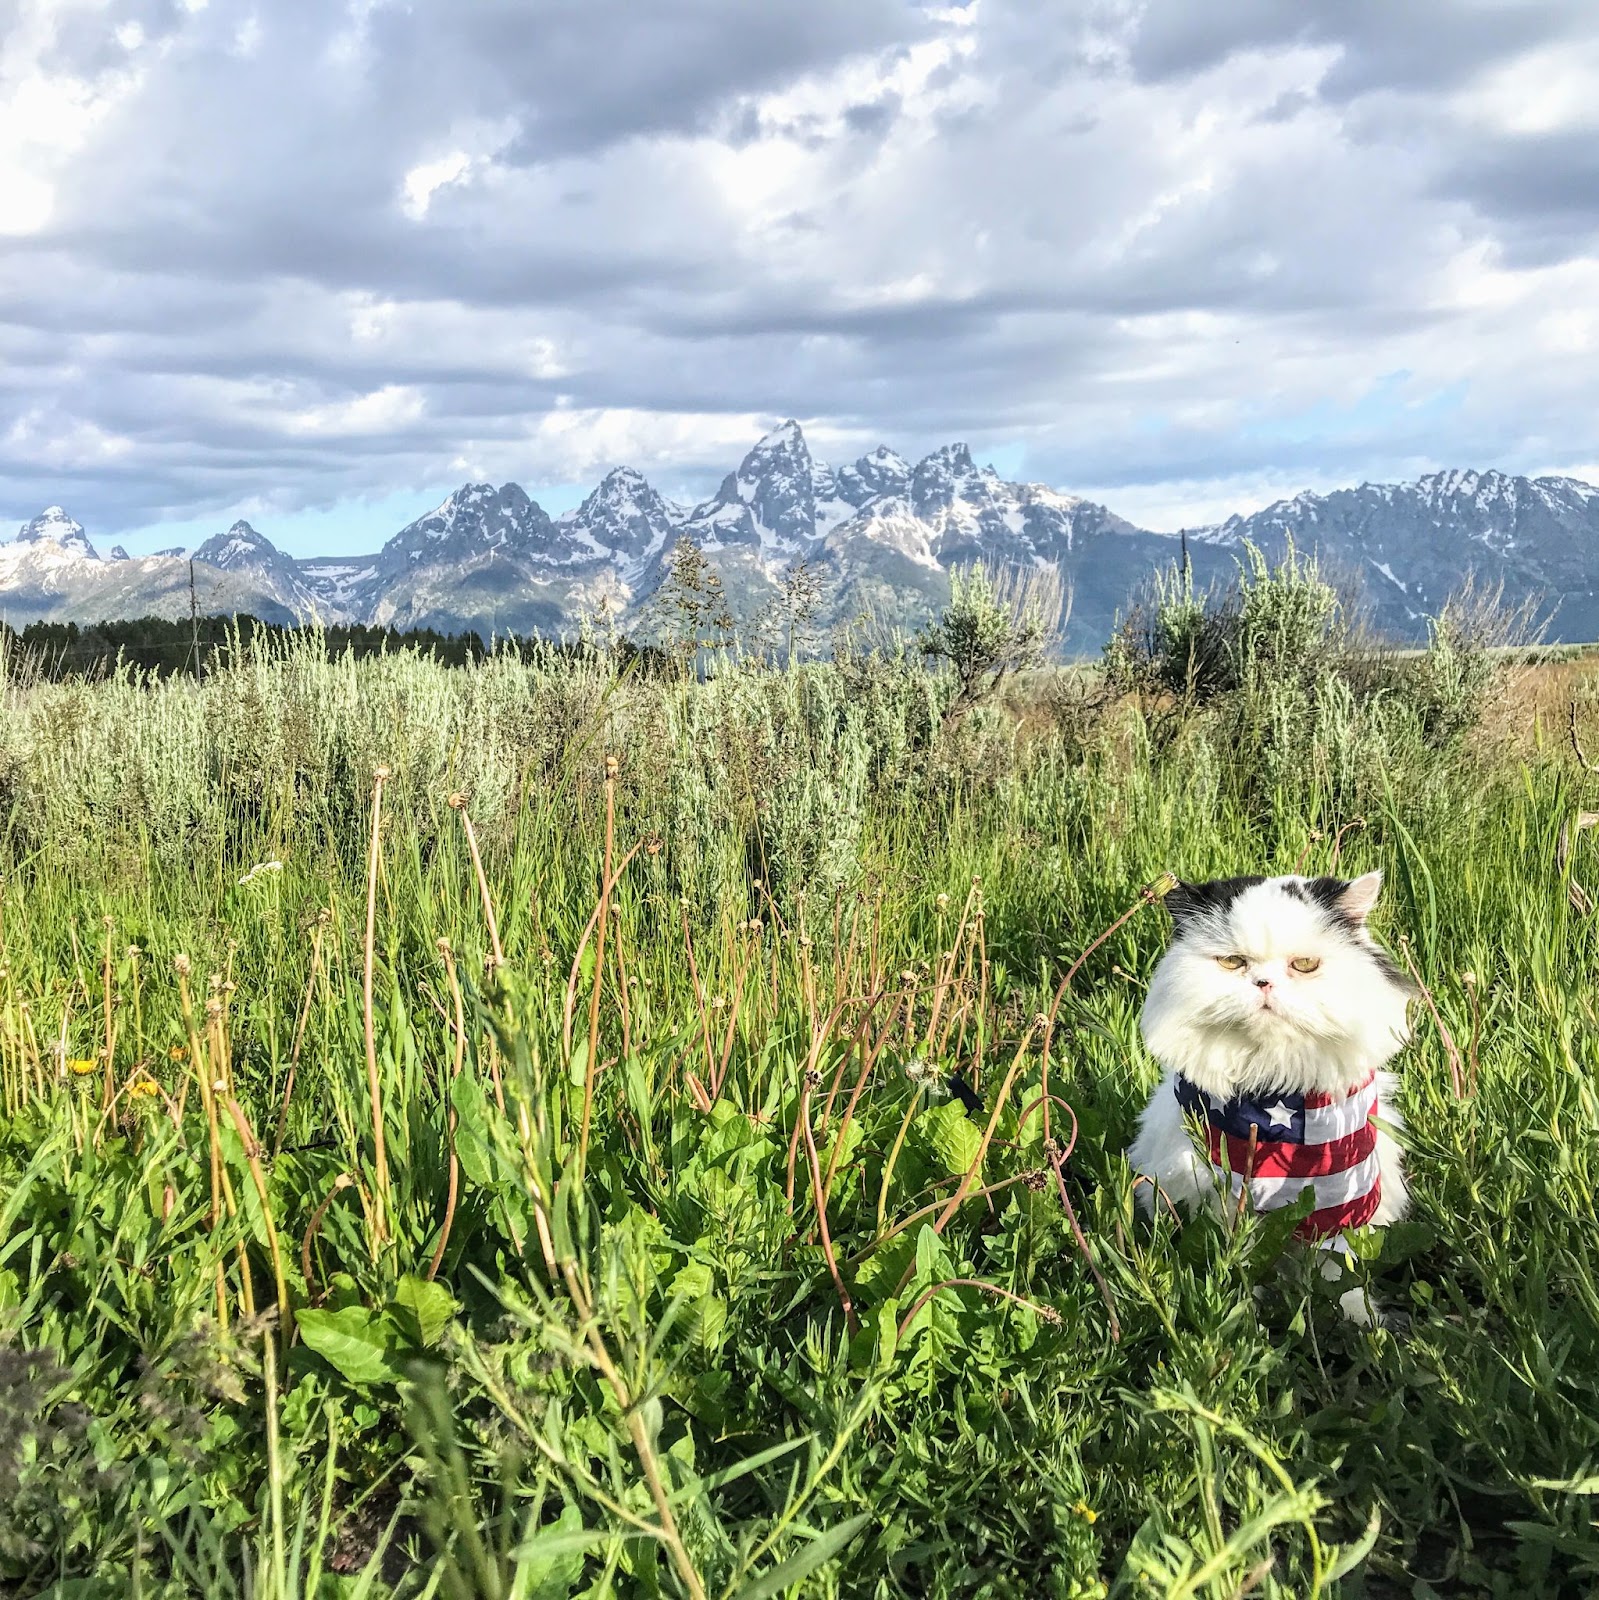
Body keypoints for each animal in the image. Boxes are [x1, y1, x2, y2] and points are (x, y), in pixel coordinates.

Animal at [1126, 870, 1414, 1318]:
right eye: (1232, 962)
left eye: (1305, 965)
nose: (1264, 984)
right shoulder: (1222, 1200)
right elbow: (1240, 1268)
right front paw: (1243, 1311)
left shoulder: (1341, 1200)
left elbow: (1340, 1273)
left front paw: (1358, 1319)